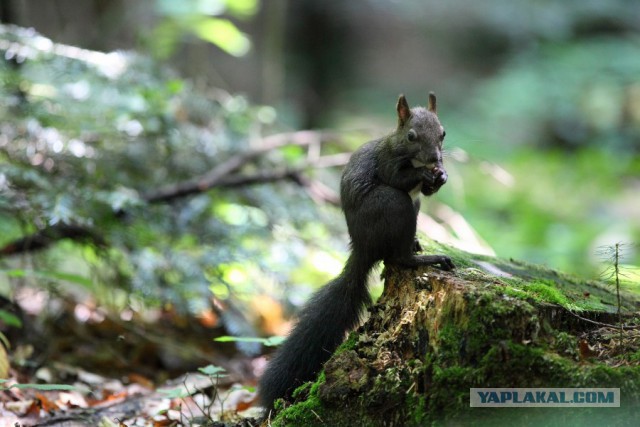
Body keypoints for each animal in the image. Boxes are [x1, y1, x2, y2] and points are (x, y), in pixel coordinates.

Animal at [258, 93, 452, 414]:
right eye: (411, 136)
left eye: (443, 133)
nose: (435, 161)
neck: (399, 146)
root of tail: (362, 247)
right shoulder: (388, 163)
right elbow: (398, 178)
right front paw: (424, 173)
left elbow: (427, 190)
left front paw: (440, 176)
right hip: (394, 204)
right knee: (398, 256)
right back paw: (424, 257)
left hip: (411, 207)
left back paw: (416, 243)